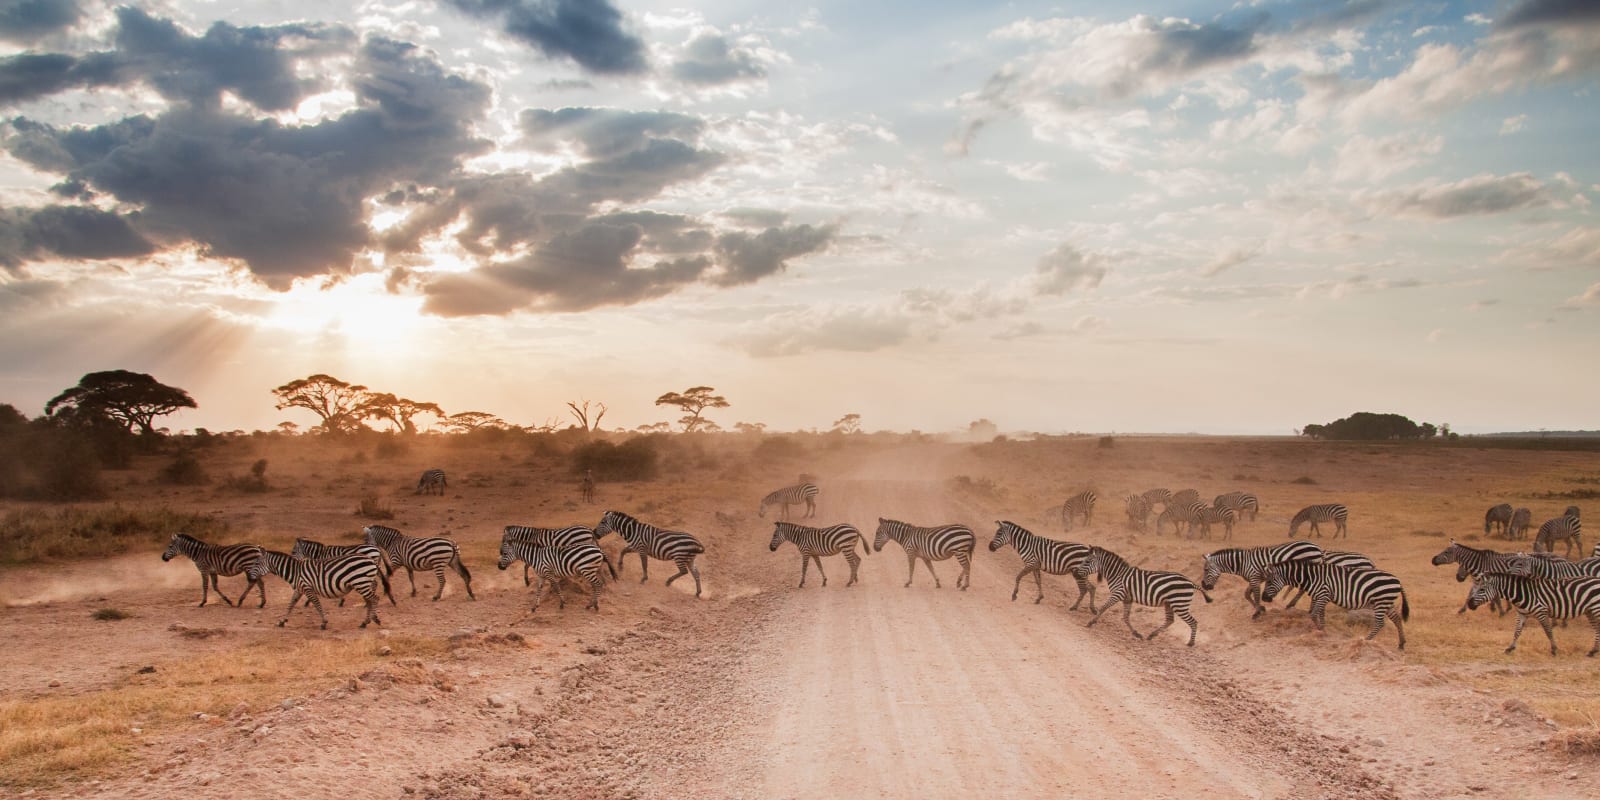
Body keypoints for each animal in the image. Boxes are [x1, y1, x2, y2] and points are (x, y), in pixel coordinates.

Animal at [249, 550, 382, 629]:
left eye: (256, 563)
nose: (250, 577)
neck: (295, 572)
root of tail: (371, 560)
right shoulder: (299, 589)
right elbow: (291, 604)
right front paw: (282, 621)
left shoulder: (307, 587)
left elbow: (317, 604)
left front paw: (324, 623)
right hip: (363, 583)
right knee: (369, 599)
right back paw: (365, 622)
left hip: (361, 582)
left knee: (375, 598)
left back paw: (375, 619)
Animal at [1083, 546, 1212, 647]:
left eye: (1087, 561)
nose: (1079, 571)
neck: (1117, 574)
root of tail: (1191, 582)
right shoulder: (1127, 598)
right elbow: (1125, 617)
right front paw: (1136, 634)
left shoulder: (1117, 594)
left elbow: (1103, 608)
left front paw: (1091, 622)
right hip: (1169, 604)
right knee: (1170, 620)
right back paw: (1151, 635)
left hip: (1179, 604)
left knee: (1193, 622)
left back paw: (1191, 643)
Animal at [1260, 560, 1409, 650]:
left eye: (1269, 581)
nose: (1264, 598)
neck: (1310, 577)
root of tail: (1397, 580)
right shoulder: (1321, 597)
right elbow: (1320, 615)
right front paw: (1323, 631)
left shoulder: (1323, 595)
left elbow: (1313, 615)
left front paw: (1320, 631)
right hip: (1386, 602)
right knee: (1397, 618)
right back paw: (1401, 644)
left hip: (1381, 602)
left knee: (1380, 623)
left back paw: (1365, 641)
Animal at [1466, 573, 1600, 656]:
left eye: (1482, 589)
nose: (1469, 604)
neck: (1522, 594)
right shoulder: (1522, 614)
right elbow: (1517, 631)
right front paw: (1510, 648)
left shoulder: (1541, 612)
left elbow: (1548, 631)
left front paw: (1554, 649)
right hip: (1590, 611)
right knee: (1597, 629)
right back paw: (1593, 651)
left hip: (1596, 608)